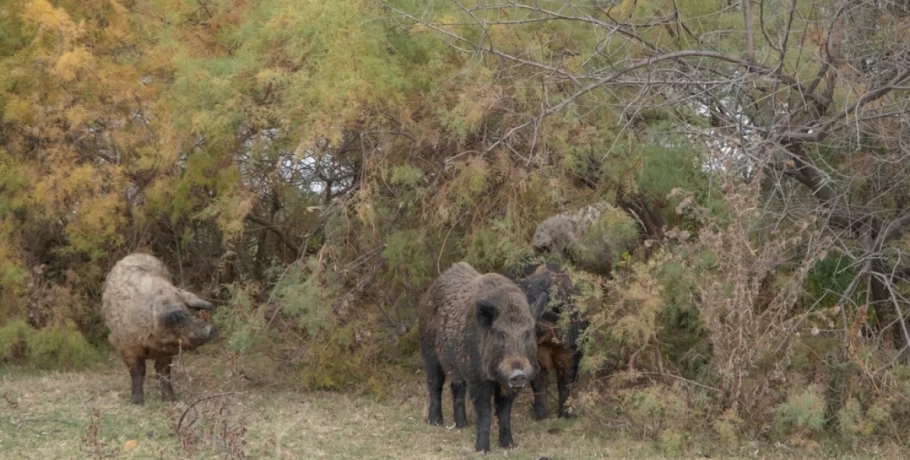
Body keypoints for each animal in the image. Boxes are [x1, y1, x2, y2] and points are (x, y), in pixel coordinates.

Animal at [102, 253, 218, 404]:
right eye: (176, 319)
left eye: (188, 312)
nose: (211, 329)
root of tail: (135, 254)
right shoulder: (127, 345)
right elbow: (137, 372)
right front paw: (137, 402)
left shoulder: (167, 352)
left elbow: (164, 373)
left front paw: (171, 400)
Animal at [416, 260, 544, 452]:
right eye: (501, 334)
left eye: (527, 333)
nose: (518, 375)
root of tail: (428, 291)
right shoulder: (477, 379)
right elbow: (485, 413)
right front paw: (482, 450)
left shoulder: (506, 387)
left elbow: (504, 414)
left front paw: (509, 446)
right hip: (429, 352)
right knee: (435, 385)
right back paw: (435, 422)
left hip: (456, 365)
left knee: (457, 387)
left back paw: (462, 425)